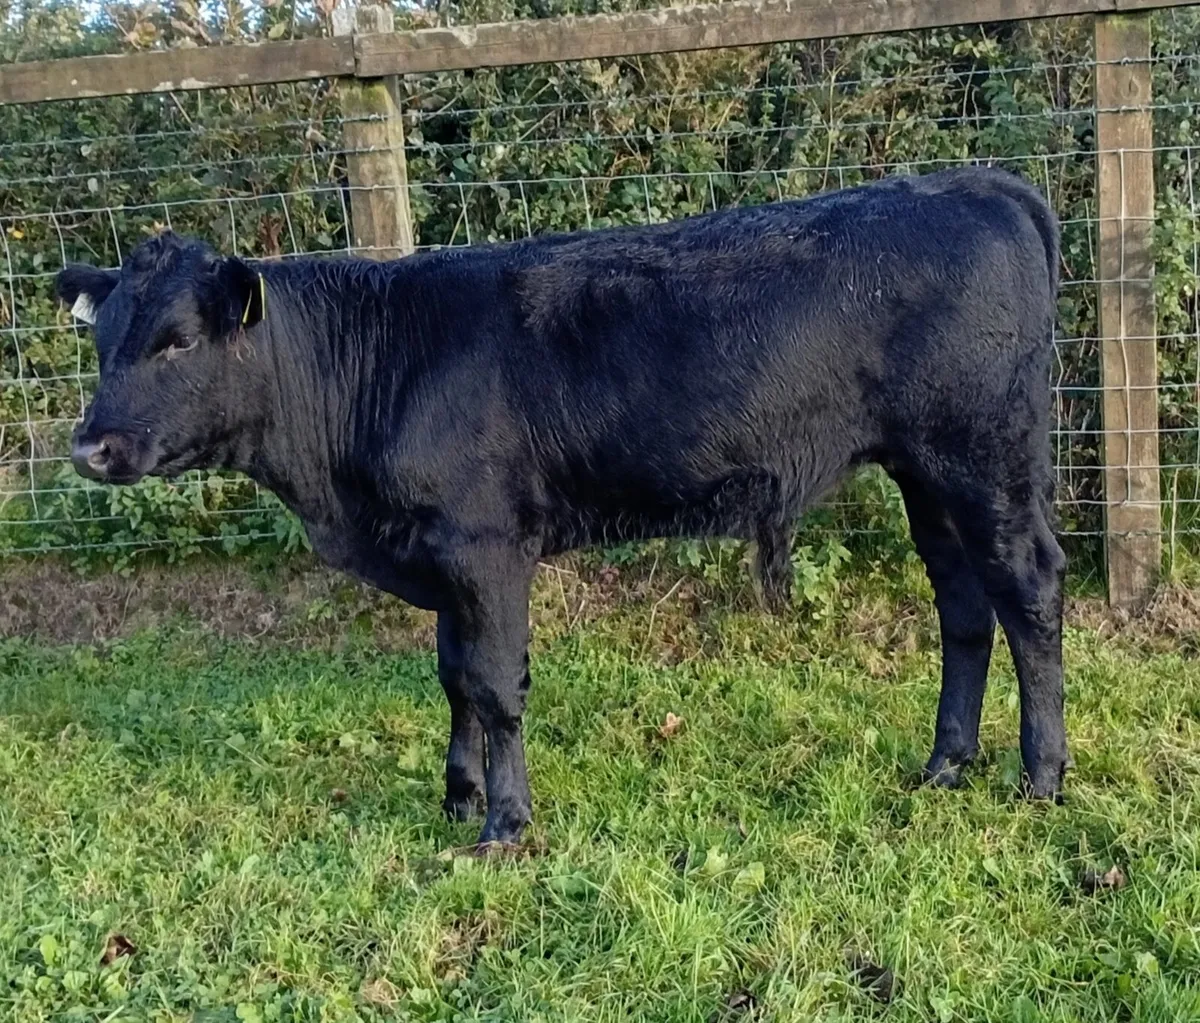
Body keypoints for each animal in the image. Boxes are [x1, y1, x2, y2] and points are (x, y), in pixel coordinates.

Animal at [57, 166, 1068, 847]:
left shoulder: (485, 542)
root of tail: (974, 182)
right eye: (103, 342)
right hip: (925, 471)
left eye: (177, 341)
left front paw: (504, 823)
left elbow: (496, 684)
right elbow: (454, 675)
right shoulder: (446, 551)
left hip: (983, 454)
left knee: (1028, 592)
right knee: (963, 606)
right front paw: (457, 795)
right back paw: (945, 765)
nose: (90, 446)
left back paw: (1042, 776)